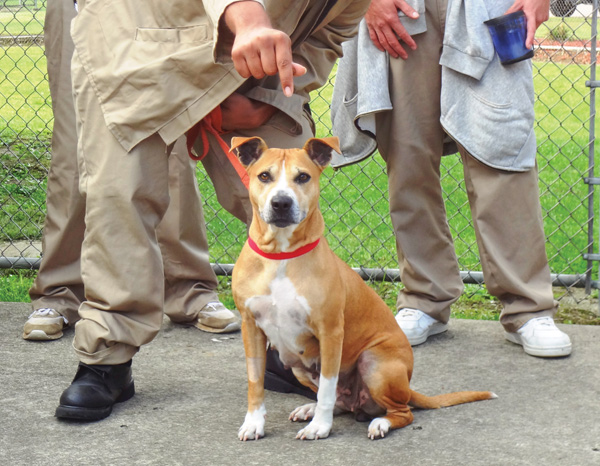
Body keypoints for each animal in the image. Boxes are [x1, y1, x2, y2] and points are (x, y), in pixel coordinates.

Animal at [229, 136, 492, 440]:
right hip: (299, 366)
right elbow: (255, 382)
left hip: (374, 362)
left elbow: (327, 387)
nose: (281, 202)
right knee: (341, 402)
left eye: (303, 177)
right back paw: (311, 408)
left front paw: (320, 427)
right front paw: (254, 423)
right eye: (264, 176)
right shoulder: (251, 328)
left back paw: (379, 423)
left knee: (402, 411)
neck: (281, 255)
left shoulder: (330, 332)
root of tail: (408, 386)